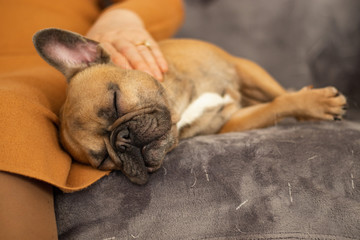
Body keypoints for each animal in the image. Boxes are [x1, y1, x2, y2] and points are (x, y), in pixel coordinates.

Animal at [33, 28, 346, 184]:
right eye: (102, 161)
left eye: (116, 101)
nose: (123, 141)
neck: (179, 107)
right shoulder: (232, 121)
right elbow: (275, 106)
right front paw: (310, 104)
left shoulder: (241, 67)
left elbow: (278, 94)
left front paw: (315, 102)